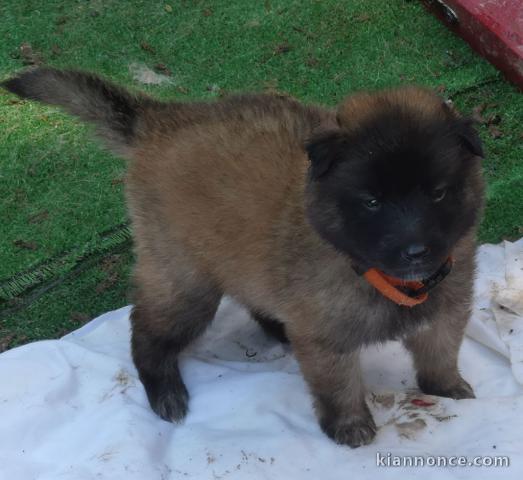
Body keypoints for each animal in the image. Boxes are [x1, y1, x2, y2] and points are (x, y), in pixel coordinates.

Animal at [3, 69, 488, 448]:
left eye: (438, 193)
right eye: (371, 202)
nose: (415, 251)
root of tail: (161, 121)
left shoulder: (446, 310)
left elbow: (440, 354)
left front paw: (447, 389)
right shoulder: (325, 342)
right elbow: (340, 386)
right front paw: (350, 426)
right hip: (186, 283)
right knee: (146, 329)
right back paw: (164, 391)